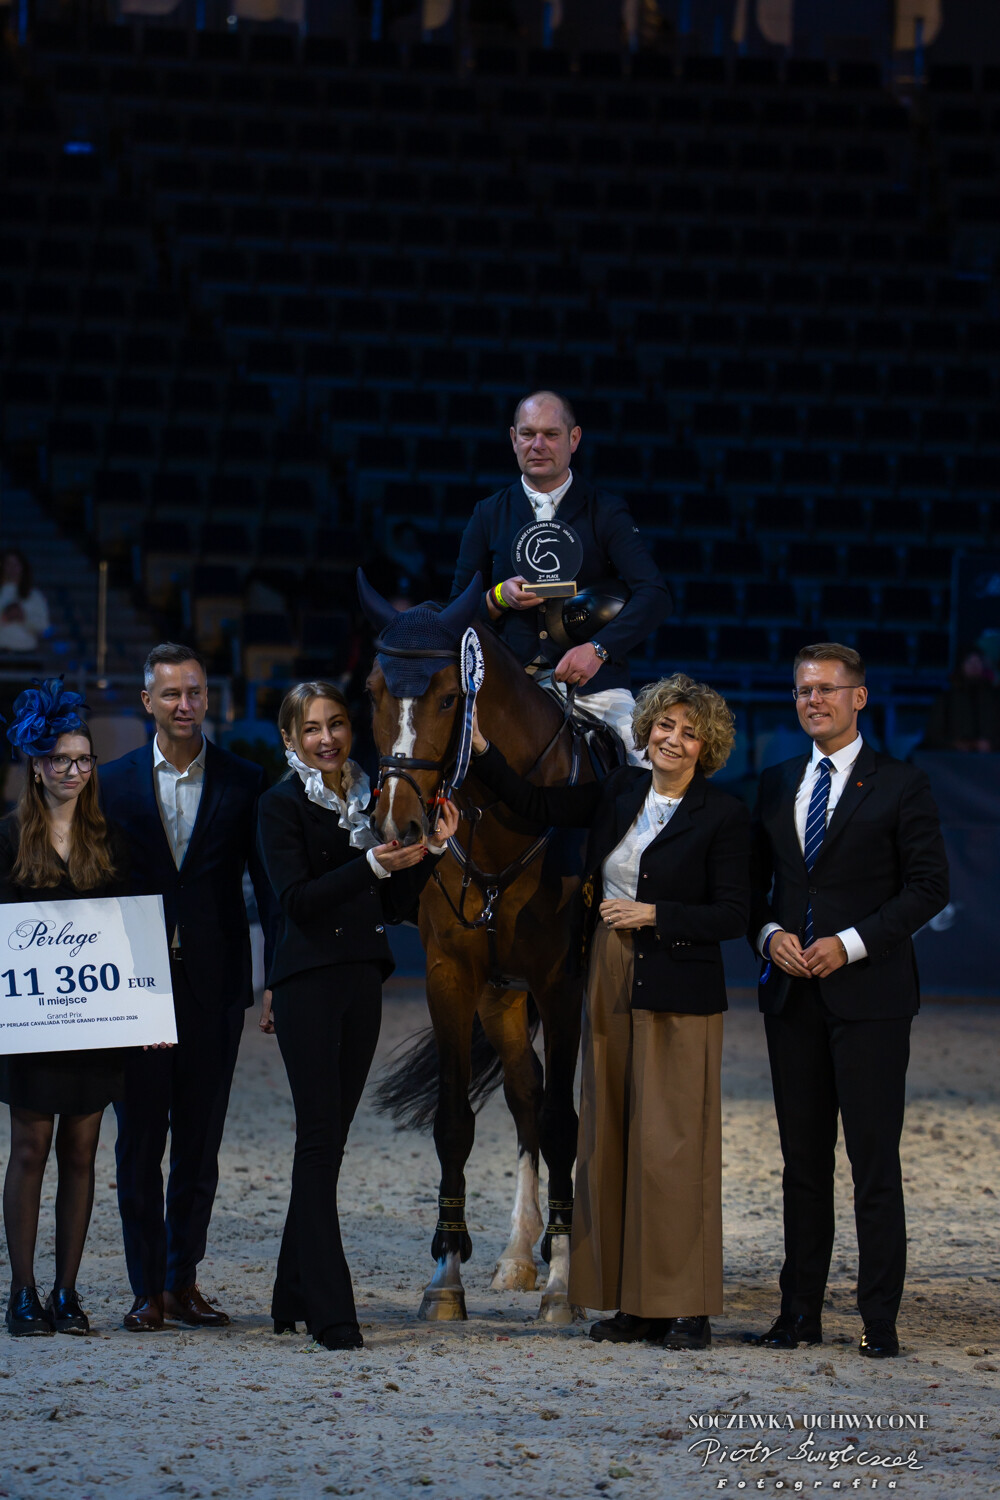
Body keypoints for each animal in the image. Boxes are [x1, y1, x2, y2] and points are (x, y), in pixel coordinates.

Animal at [358, 569, 594, 1324]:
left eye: (448, 695)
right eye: (372, 690)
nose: (398, 825)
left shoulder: (561, 983)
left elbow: (565, 1122)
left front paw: (563, 1284)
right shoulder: (453, 978)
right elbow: (456, 1122)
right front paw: (447, 1274)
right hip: (502, 999)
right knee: (525, 1096)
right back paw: (521, 1252)